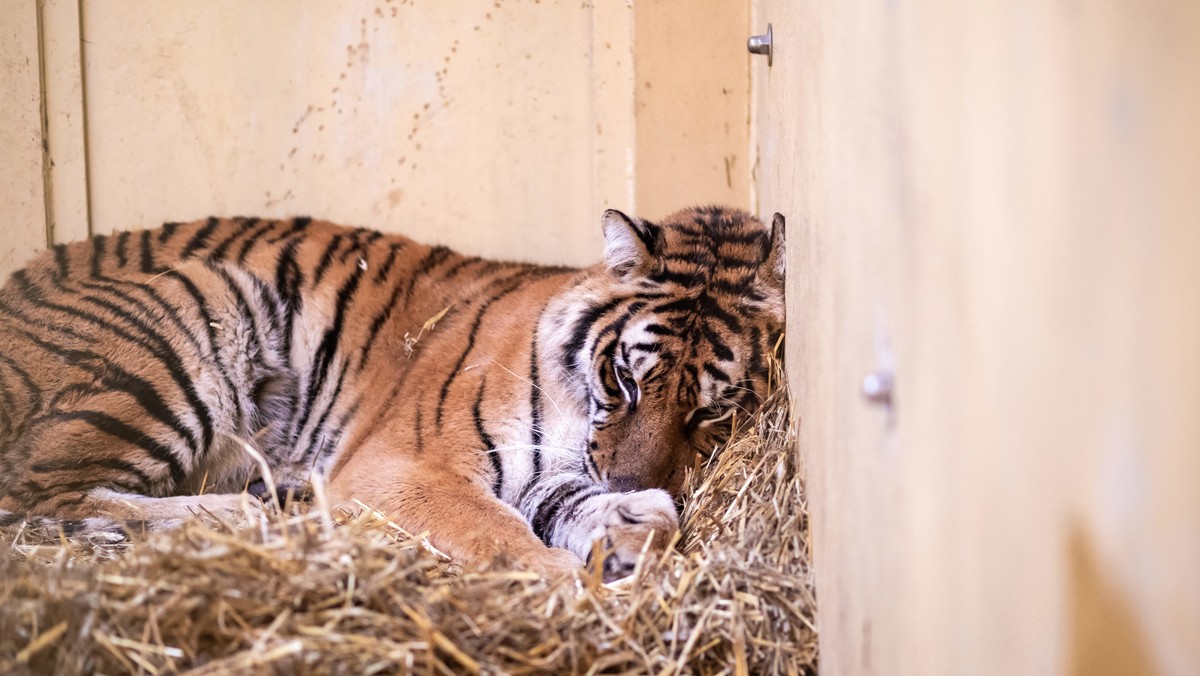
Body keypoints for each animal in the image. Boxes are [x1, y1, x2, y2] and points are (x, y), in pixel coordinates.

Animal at [0, 206, 787, 581]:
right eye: (625, 378)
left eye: (710, 410)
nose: (628, 484)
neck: (575, 403)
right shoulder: (406, 467)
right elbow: (492, 528)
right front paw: (561, 577)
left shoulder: (554, 465)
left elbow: (571, 499)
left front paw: (631, 525)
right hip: (203, 301)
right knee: (41, 495)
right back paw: (250, 515)